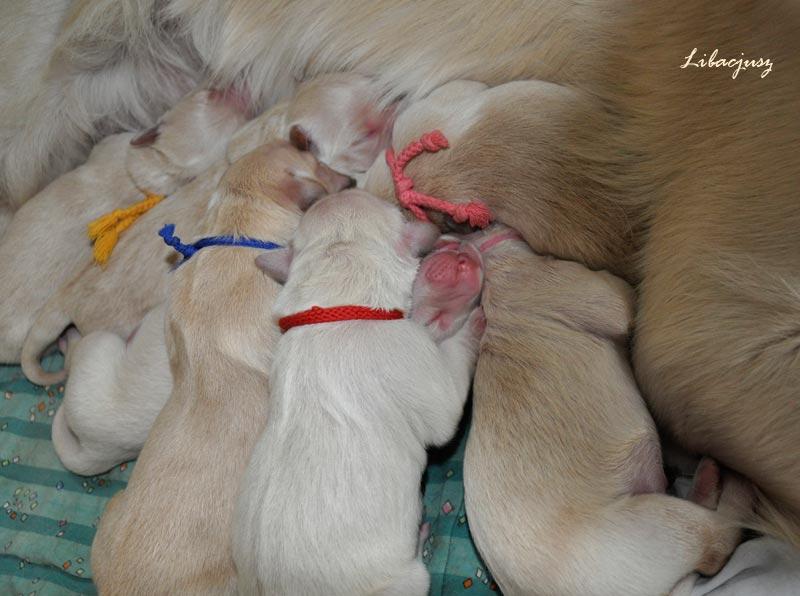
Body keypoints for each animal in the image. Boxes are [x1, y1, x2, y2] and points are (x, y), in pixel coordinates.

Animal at [460, 227, 752, 596]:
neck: (495, 283)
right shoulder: (578, 286)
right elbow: (622, 297)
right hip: (657, 525)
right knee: (718, 540)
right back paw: (739, 486)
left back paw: (707, 478)